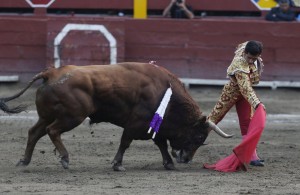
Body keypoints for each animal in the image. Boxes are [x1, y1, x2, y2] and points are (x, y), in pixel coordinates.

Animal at [0, 62, 232, 171]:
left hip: (47, 115)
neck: (165, 93)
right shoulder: (136, 122)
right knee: (52, 131)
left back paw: (24, 160)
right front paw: (117, 164)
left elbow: (160, 143)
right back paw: (65, 159)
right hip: (72, 116)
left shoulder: (152, 125)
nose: (186, 159)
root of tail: (51, 73)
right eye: (199, 137)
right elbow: (126, 142)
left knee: (34, 132)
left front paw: (168, 163)